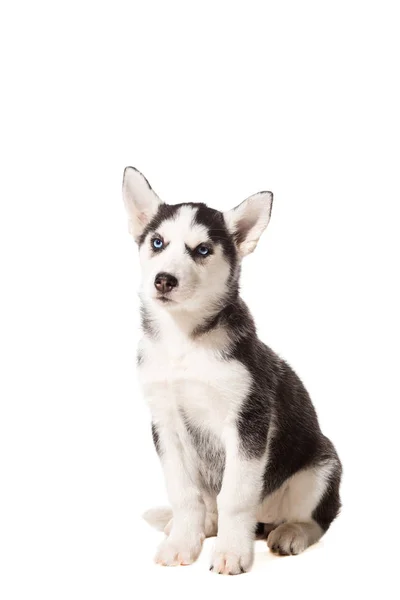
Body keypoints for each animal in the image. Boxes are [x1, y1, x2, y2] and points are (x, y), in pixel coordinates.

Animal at [122, 166, 340, 576]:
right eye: (157, 242)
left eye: (203, 250)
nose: (164, 279)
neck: (183, 341)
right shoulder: (165, 425)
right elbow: (184, 494)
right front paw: (183, 543)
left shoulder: (248, 421)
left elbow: (236, 497)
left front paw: (231, 552)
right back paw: (200, 525)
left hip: (322, 466)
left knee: (318, 518)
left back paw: (291, 533)